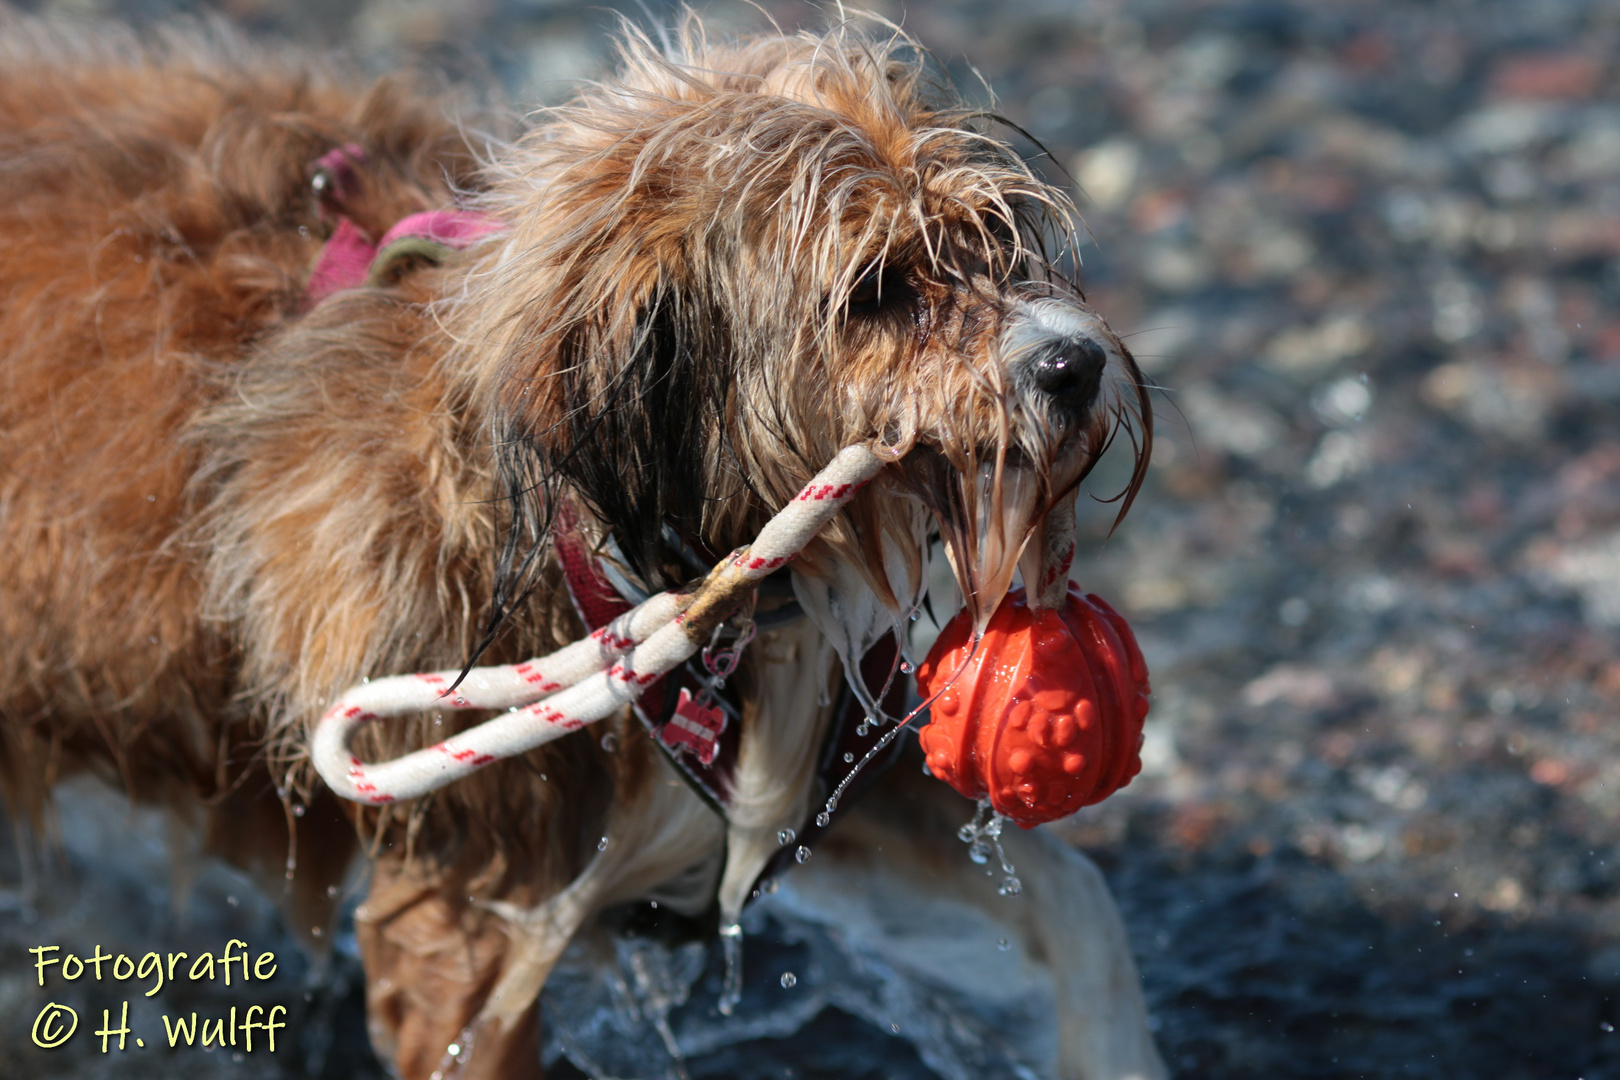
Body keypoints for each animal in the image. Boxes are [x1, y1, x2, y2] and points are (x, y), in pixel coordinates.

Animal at [0, 16, 1166, 1080]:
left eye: (995, 238)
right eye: (875, 288)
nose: (1076, 363)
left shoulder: (785, 787)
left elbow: (1084, 912)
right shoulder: (462, 911)